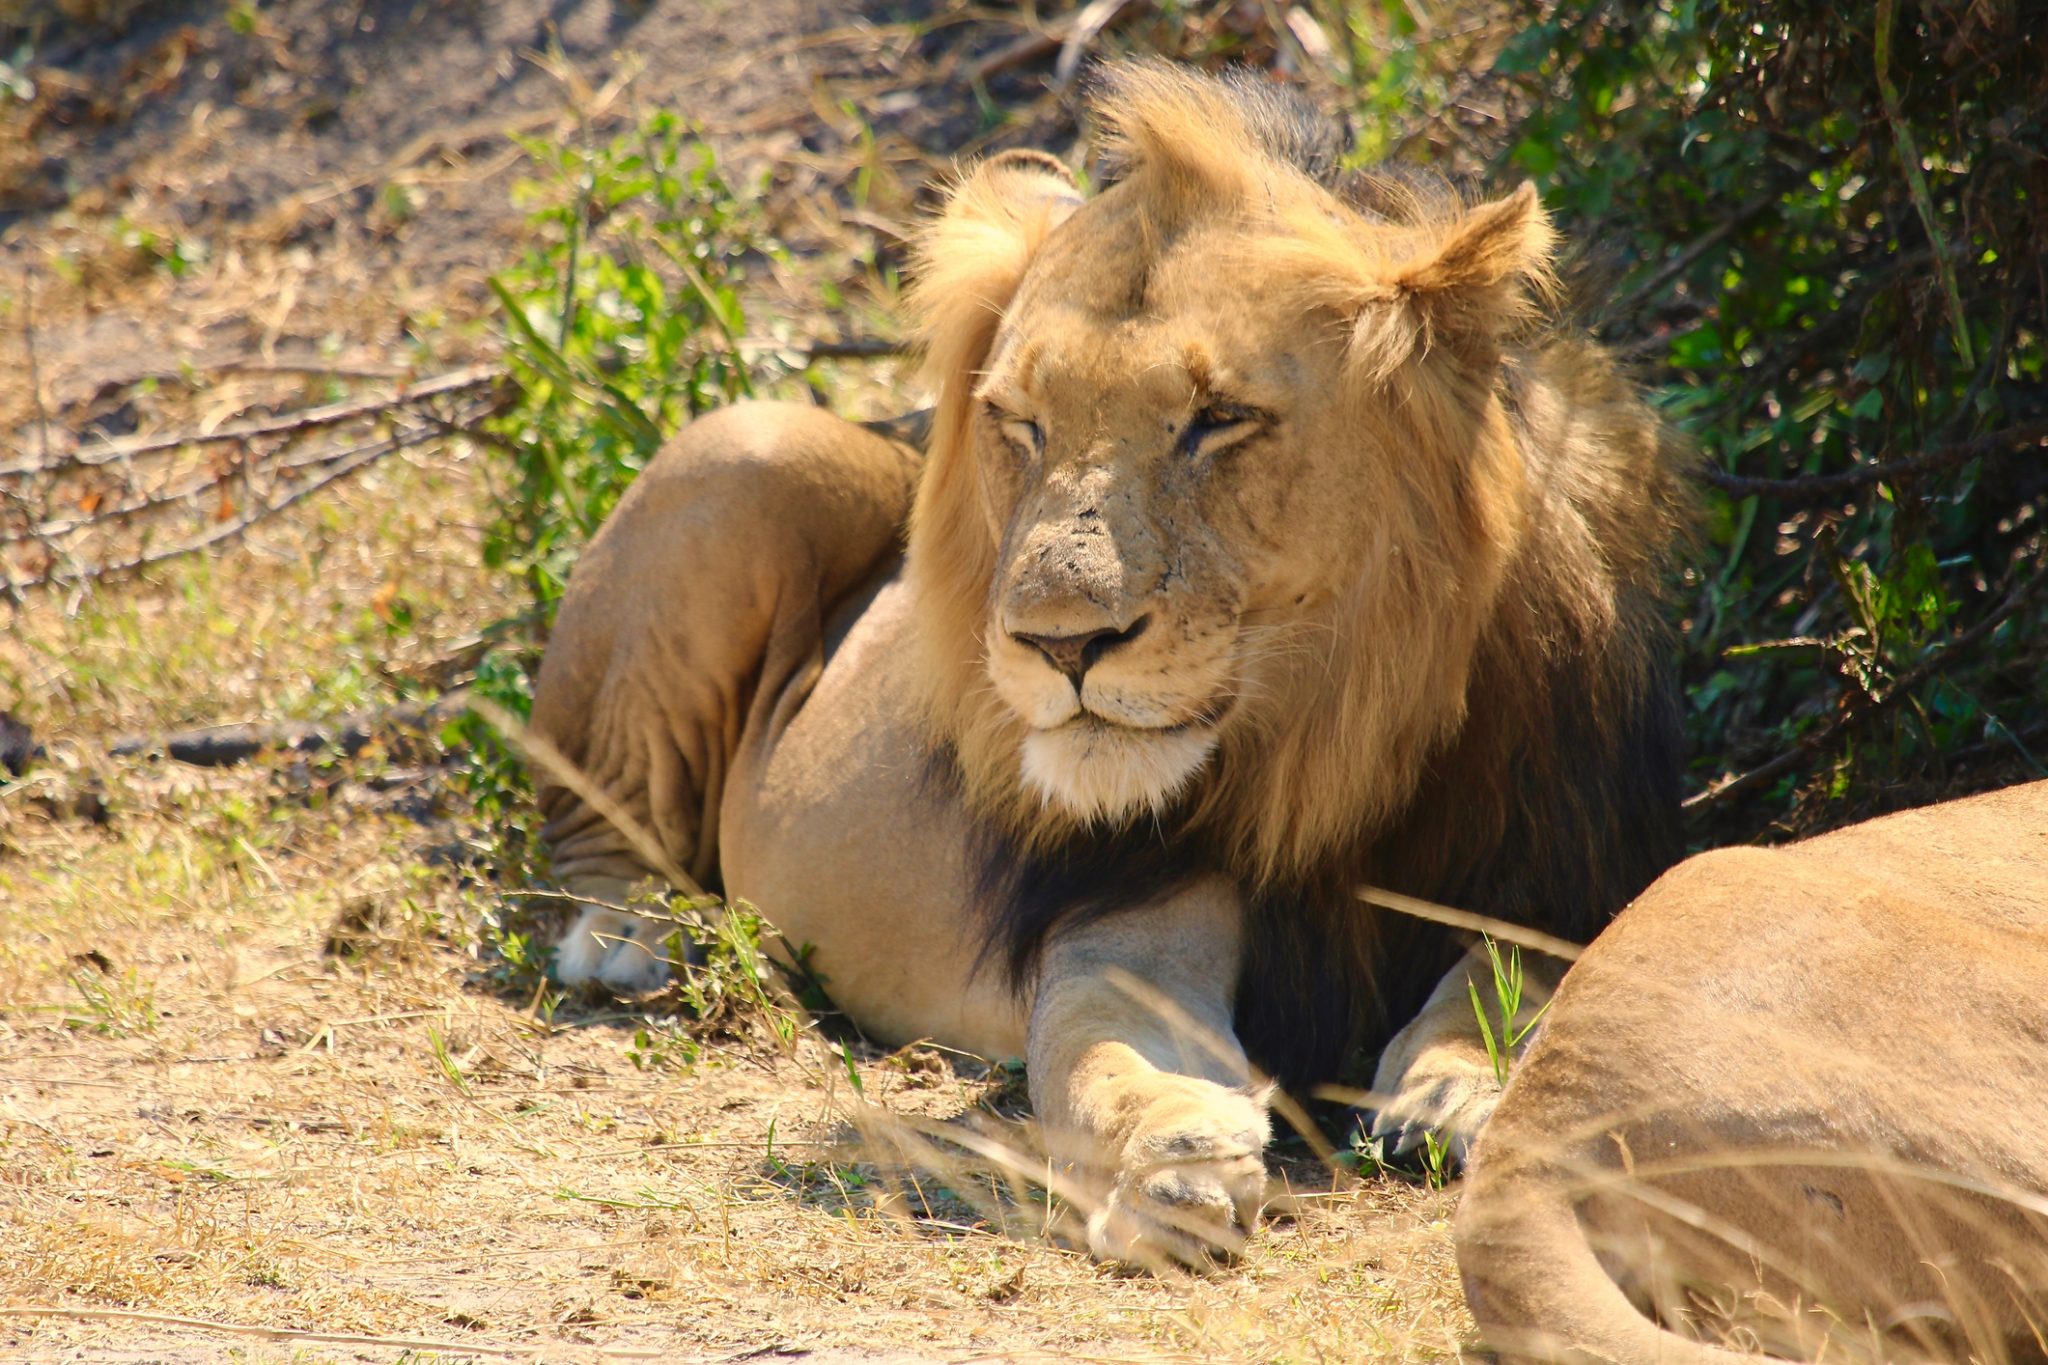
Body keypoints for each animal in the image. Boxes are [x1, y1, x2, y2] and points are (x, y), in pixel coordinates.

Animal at [532, 58, 1695, 1268]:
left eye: (1218, 418)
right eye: (1018, 422)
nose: (1058, 640)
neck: (1331, 738)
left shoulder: (1570, 863)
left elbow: (1518, 976)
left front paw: (1461, 1087)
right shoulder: (1119, 909)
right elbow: (1100, 1053)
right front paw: (1174, 1159)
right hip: (751, 445)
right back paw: (633, 937)